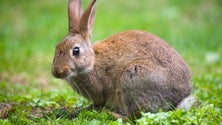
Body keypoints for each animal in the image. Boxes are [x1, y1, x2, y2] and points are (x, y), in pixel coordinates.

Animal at [51, 0, 196, 119]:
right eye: (57, 47)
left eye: (76, 51)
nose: (57, 72)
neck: (92, 62)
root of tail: (181, 97)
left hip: (133, 78)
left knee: (134, 116)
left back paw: (111, 114)